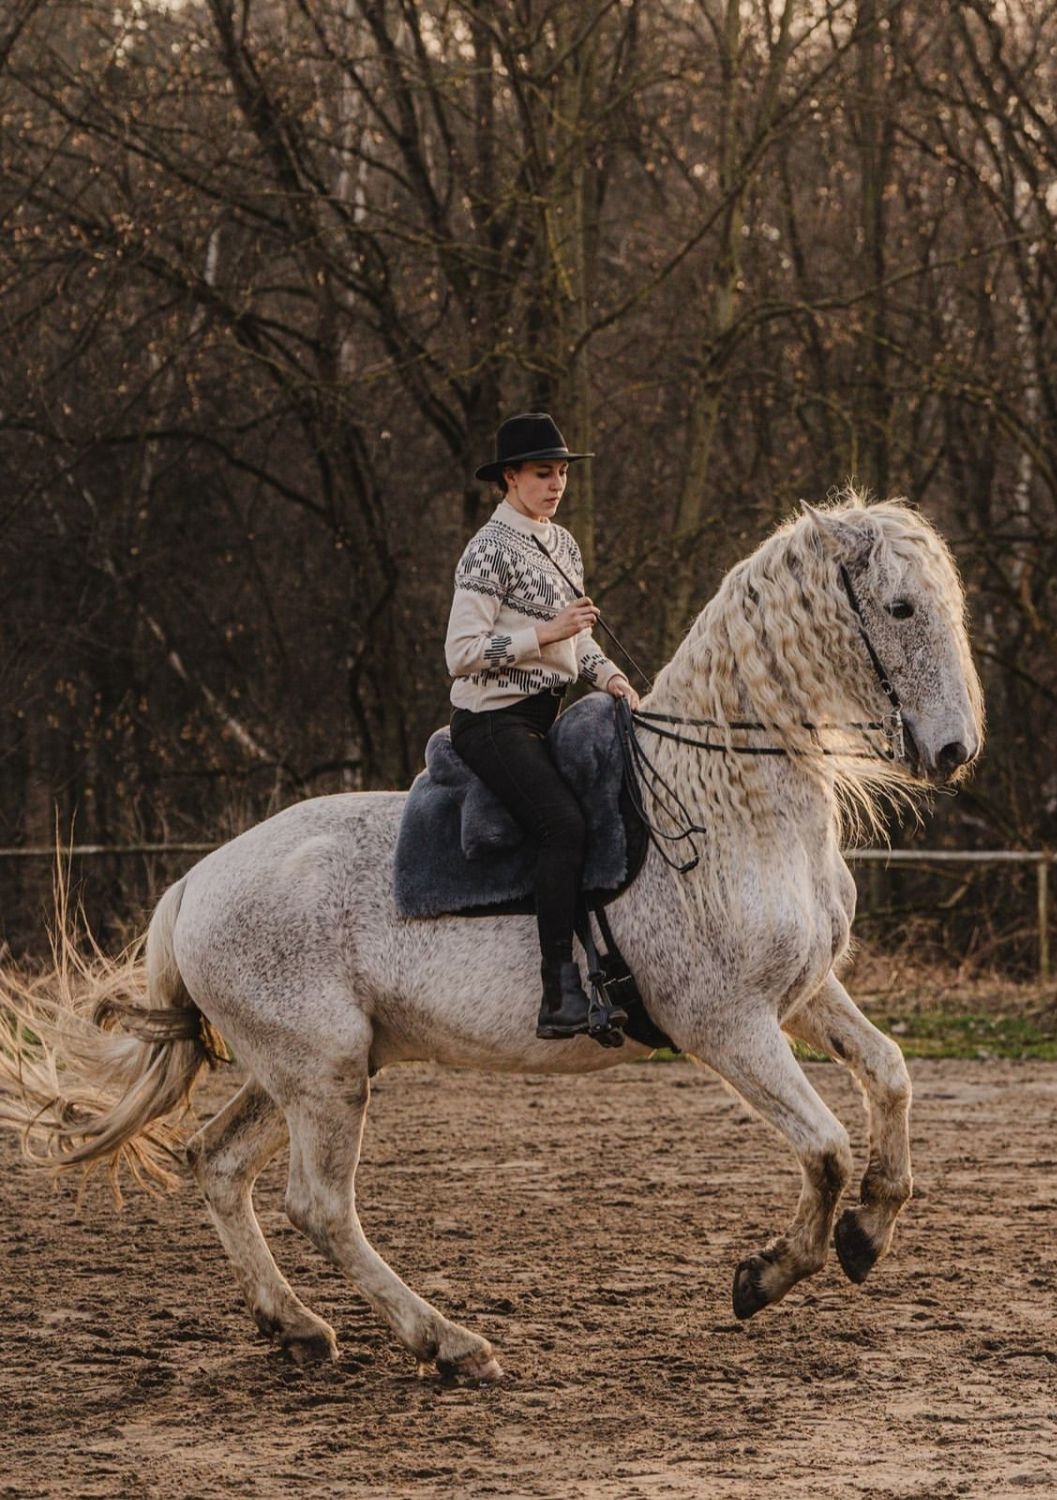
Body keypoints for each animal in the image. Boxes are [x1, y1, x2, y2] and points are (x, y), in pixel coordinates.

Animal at [0, 492, 983, 1380]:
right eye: (901, 608)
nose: (953, 752)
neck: (723, 801)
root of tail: (192, 883)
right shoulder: (726, 1027)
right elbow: (823, 1148)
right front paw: (766, 1275)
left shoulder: (803, 996)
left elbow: (889, 1076)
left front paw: (868, 1230)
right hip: (322, 1075)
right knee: (318, 1205)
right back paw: (448, 1343)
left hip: (305, 1069)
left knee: (216, 1162)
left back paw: (296, 1326)